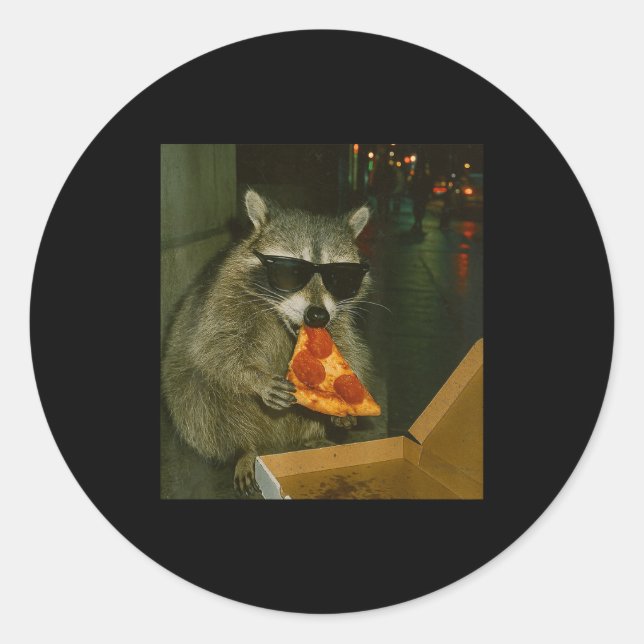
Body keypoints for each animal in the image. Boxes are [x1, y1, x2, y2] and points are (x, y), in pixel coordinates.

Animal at [161, 189, 376, 495]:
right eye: (291, 273)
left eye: (339, 277)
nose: (317, 315)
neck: (282, 319)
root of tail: (275, 442)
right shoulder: (224, 300)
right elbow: (214, 349)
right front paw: (255, 378)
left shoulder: (338, 321)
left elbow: (348, 349)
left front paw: (343, 399)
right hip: (189, 395)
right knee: (202, 400)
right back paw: (245, 448)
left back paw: (309, 439)